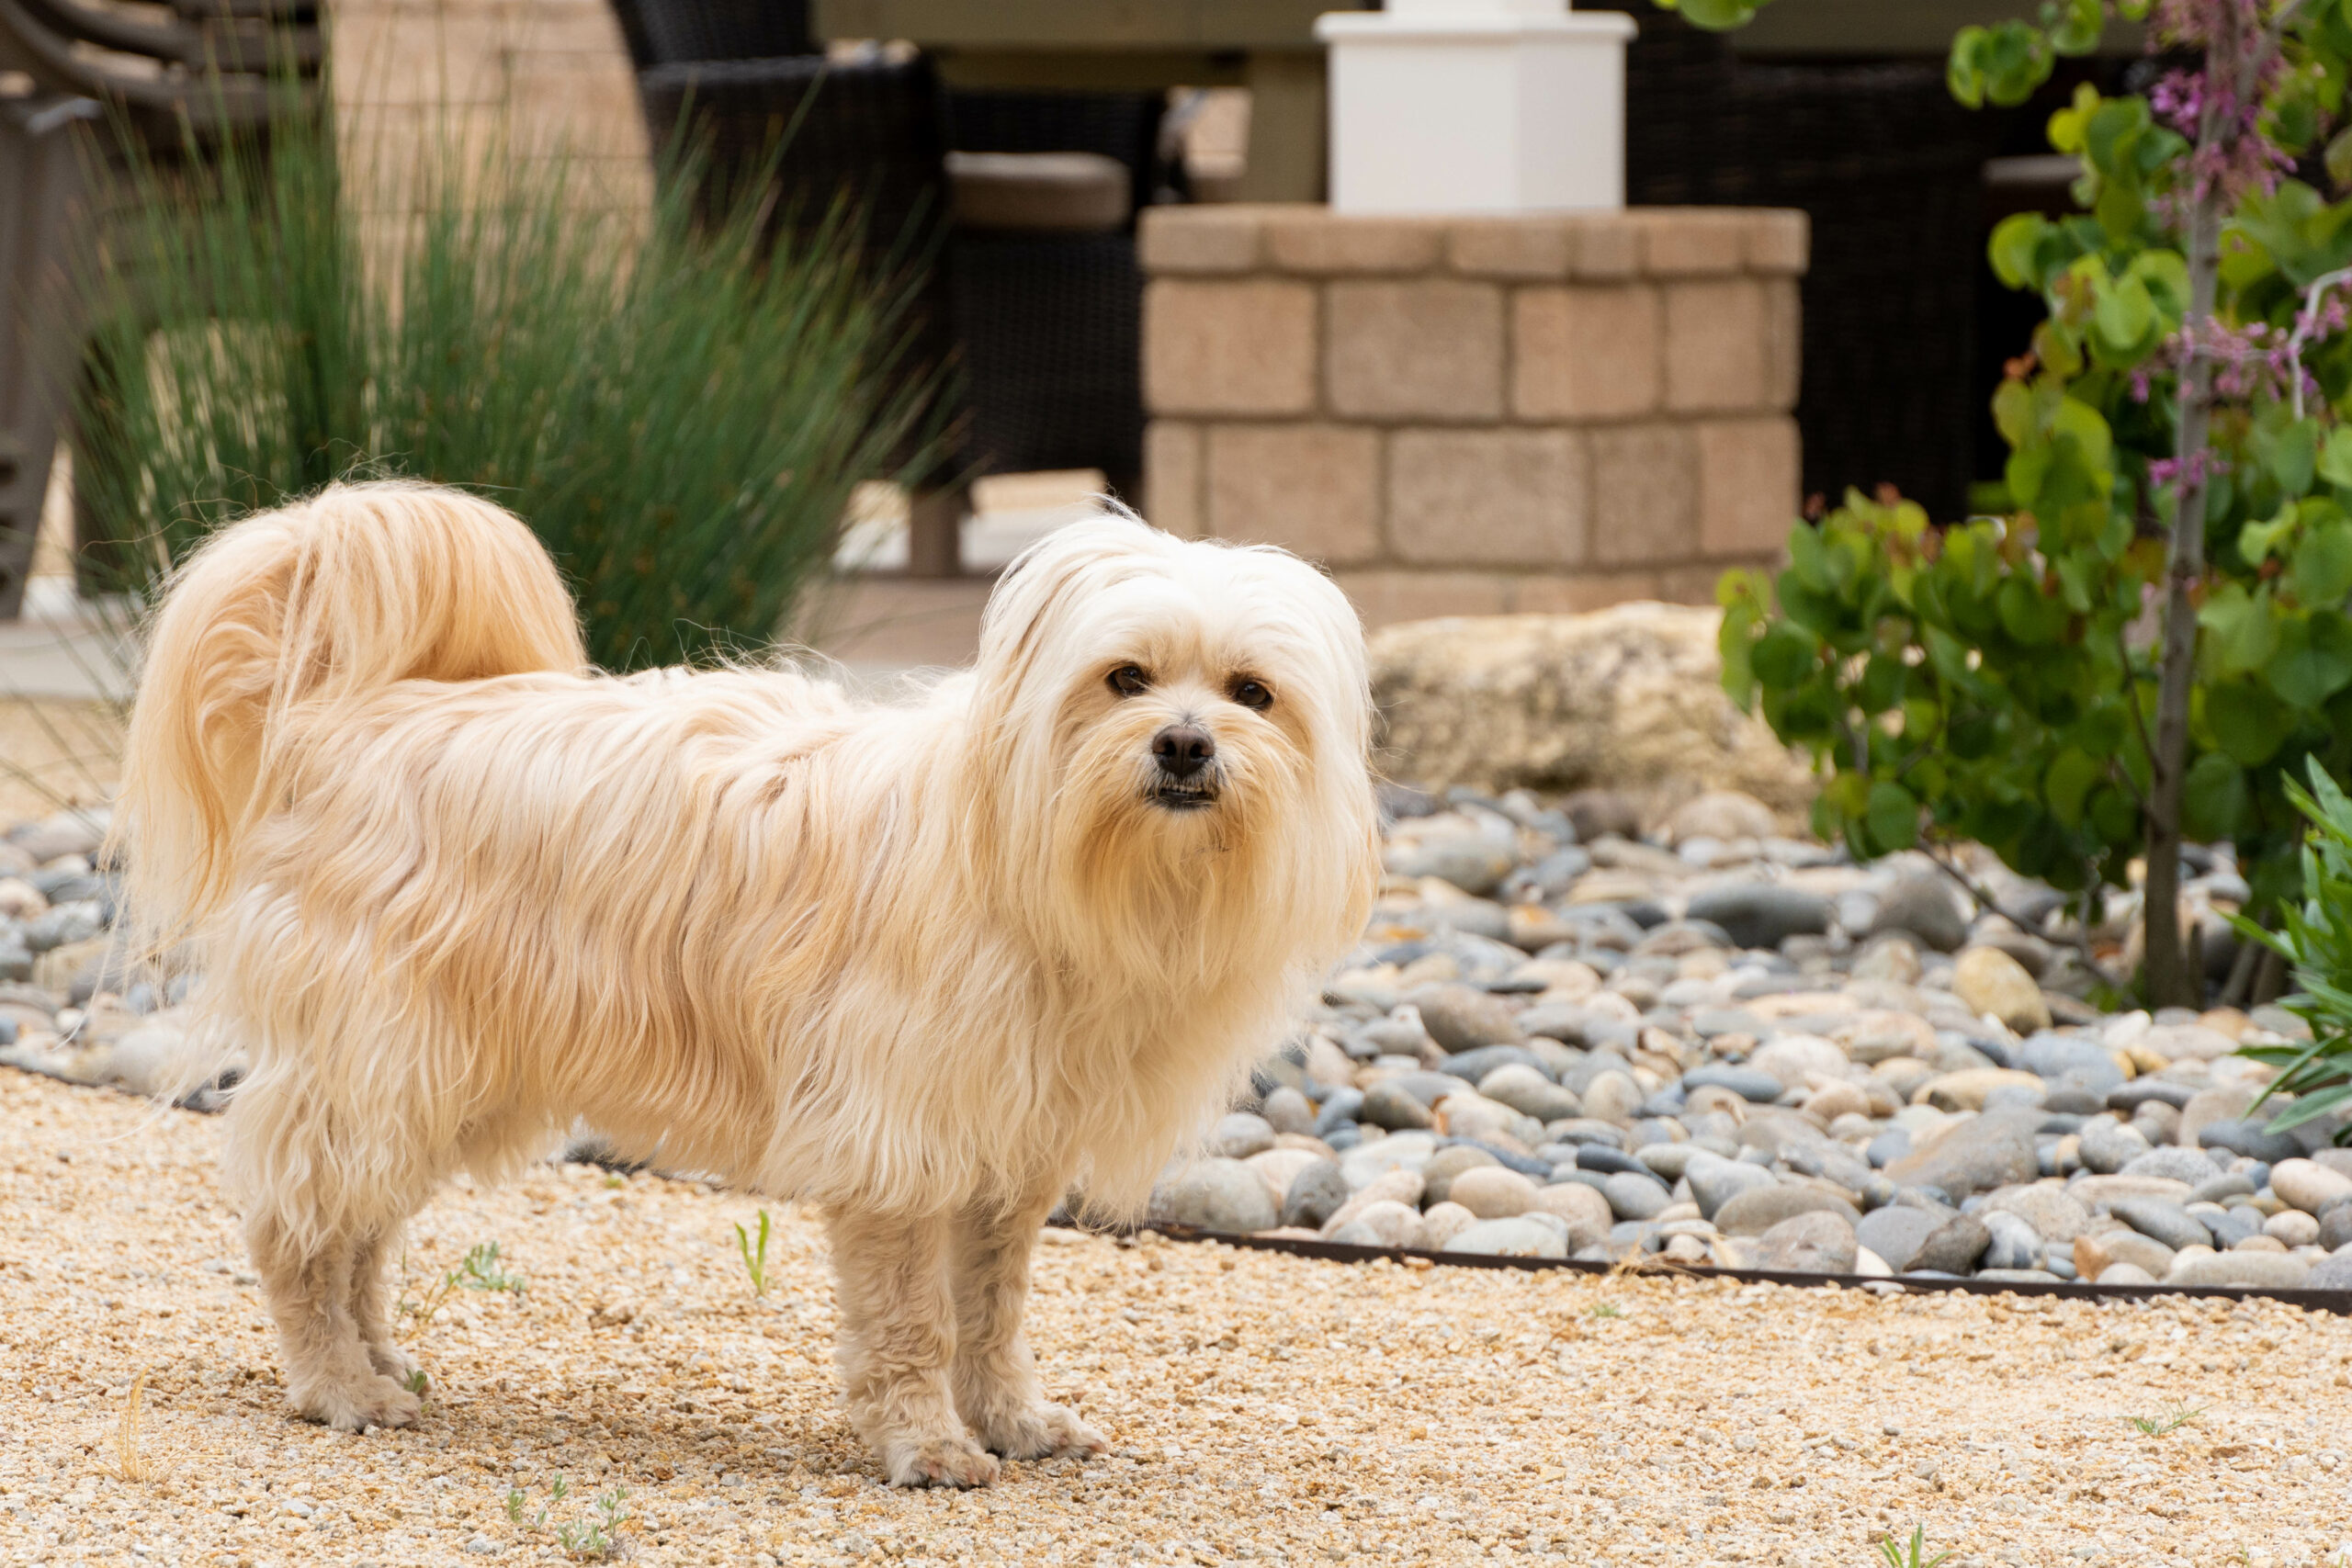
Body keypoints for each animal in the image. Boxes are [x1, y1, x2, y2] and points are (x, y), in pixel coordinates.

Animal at [115, 479, 1377, 1486]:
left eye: (1251, 693)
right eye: (1125, 678)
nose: (1183, 745)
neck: (1030, 850)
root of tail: (340, 718)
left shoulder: (1000, 1163)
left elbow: (991, 1315)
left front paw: (1011, 1422)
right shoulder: (897, 1150)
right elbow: (913, 1324)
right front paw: (927, 1446)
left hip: (435, 1078)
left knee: (357, 1230)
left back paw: (381, 1363)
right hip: (379, 1063)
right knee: (296, 1229)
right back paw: (336, 1385)